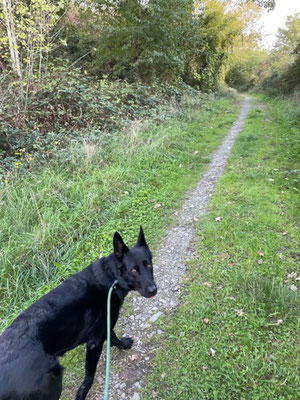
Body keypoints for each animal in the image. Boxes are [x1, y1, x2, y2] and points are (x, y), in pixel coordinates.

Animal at [0, 227, 157, 398]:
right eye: (134, 269)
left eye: (149, 265)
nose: (153, 290)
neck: (112, 277)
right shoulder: (94, 343)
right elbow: (89, 377)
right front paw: (82, 394)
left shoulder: (105, 326)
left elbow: (113, 337)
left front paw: (123, 345)